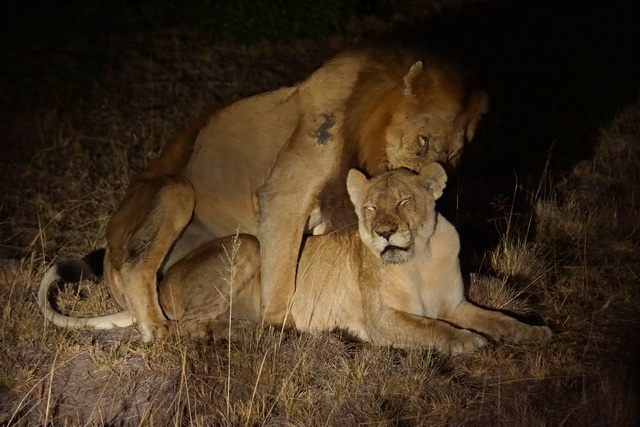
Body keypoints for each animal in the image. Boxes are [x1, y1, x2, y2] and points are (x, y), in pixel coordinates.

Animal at [42, 49, 489, 341]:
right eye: (423, 140)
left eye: (457, 153)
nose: (438, 177)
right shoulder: (283, 195)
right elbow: (280, 273)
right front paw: (279, 329)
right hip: (175, 191)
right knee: (140, 270)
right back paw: (159, 329)